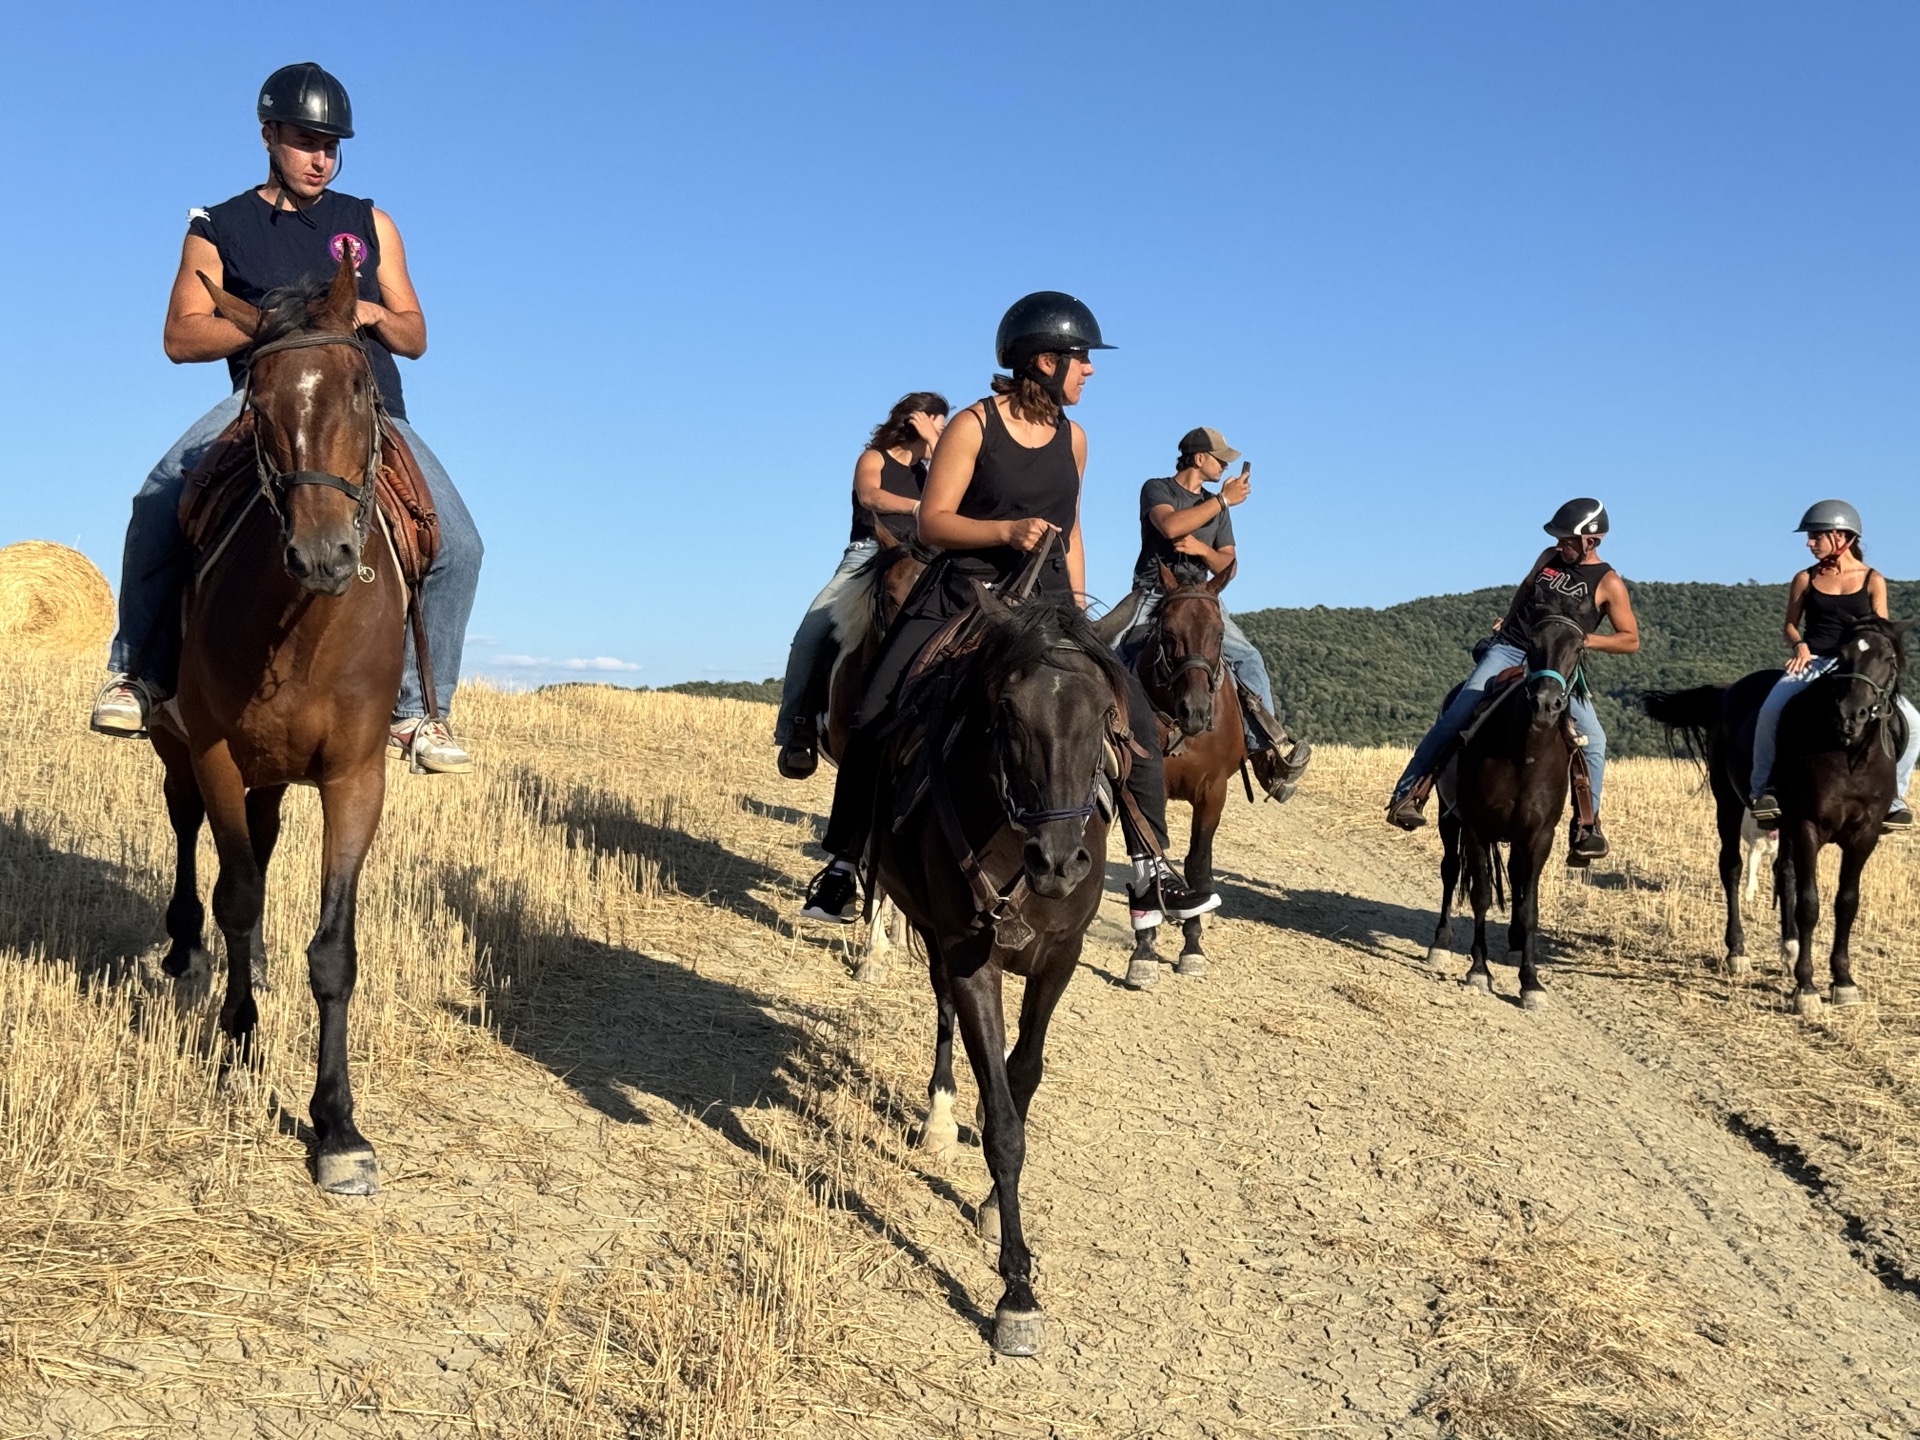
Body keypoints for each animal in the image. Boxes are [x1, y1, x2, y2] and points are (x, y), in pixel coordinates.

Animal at [147, 251, 408, 1195]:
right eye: (257, 404)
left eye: (363, 388)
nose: (325, 554)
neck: (306, 626)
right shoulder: (218, 754)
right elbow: (237, 896)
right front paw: (236, 1043)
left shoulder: (356, 777)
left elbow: (333, 950)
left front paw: (337, 1127)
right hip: (181, 750)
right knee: (192, 837)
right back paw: (187, 952)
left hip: (273, 777)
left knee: (257, 845)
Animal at [875, 584, 1125, 1357]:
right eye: (1007, 712)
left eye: (1107, 713)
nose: (1058, 862)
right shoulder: (968, 958)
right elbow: (1006, 1128)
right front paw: (1016, 1290)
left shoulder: (1060, 960)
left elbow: (1022, 1078)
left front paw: (991, 1205)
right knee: (941, 1013)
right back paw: (939, 1115)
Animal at [1116, 561, 1244, 989]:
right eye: (1168, 633)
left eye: (1219, 633)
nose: (1196, 711)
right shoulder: (1138, 787)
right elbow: (1149, 853)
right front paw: (1144, 949)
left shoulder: (1213, 791)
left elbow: (1198, 863)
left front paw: (1193, 945)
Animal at [1426, 597, 1590, 1007]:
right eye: (1532, 643)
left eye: (1578, 649)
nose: (1546, 704)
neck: (1524, 752)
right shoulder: (1475, 826)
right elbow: (1481, 894)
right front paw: (1478, 970)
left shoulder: (1539, 834)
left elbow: (1530, 905)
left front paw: (1530, 982)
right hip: (1447, 817)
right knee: (1450, 870)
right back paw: (1441, 943)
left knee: (1515, 878)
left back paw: (1516, 946)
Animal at [1641, 616, 1905, 1011]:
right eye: (1842, 656)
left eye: (1888, 658)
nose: (1851, 716)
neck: (1848, 755)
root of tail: (1725, 693)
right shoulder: (1808, 824)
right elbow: (1810, 903)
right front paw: (1806, 989)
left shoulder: (1864, 835)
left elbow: (1846, 902)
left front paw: (1843, 981)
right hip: (1730, 804)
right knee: (1733, 868)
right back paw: (1738, 952)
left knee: (1784, 872)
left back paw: (1789, 949)